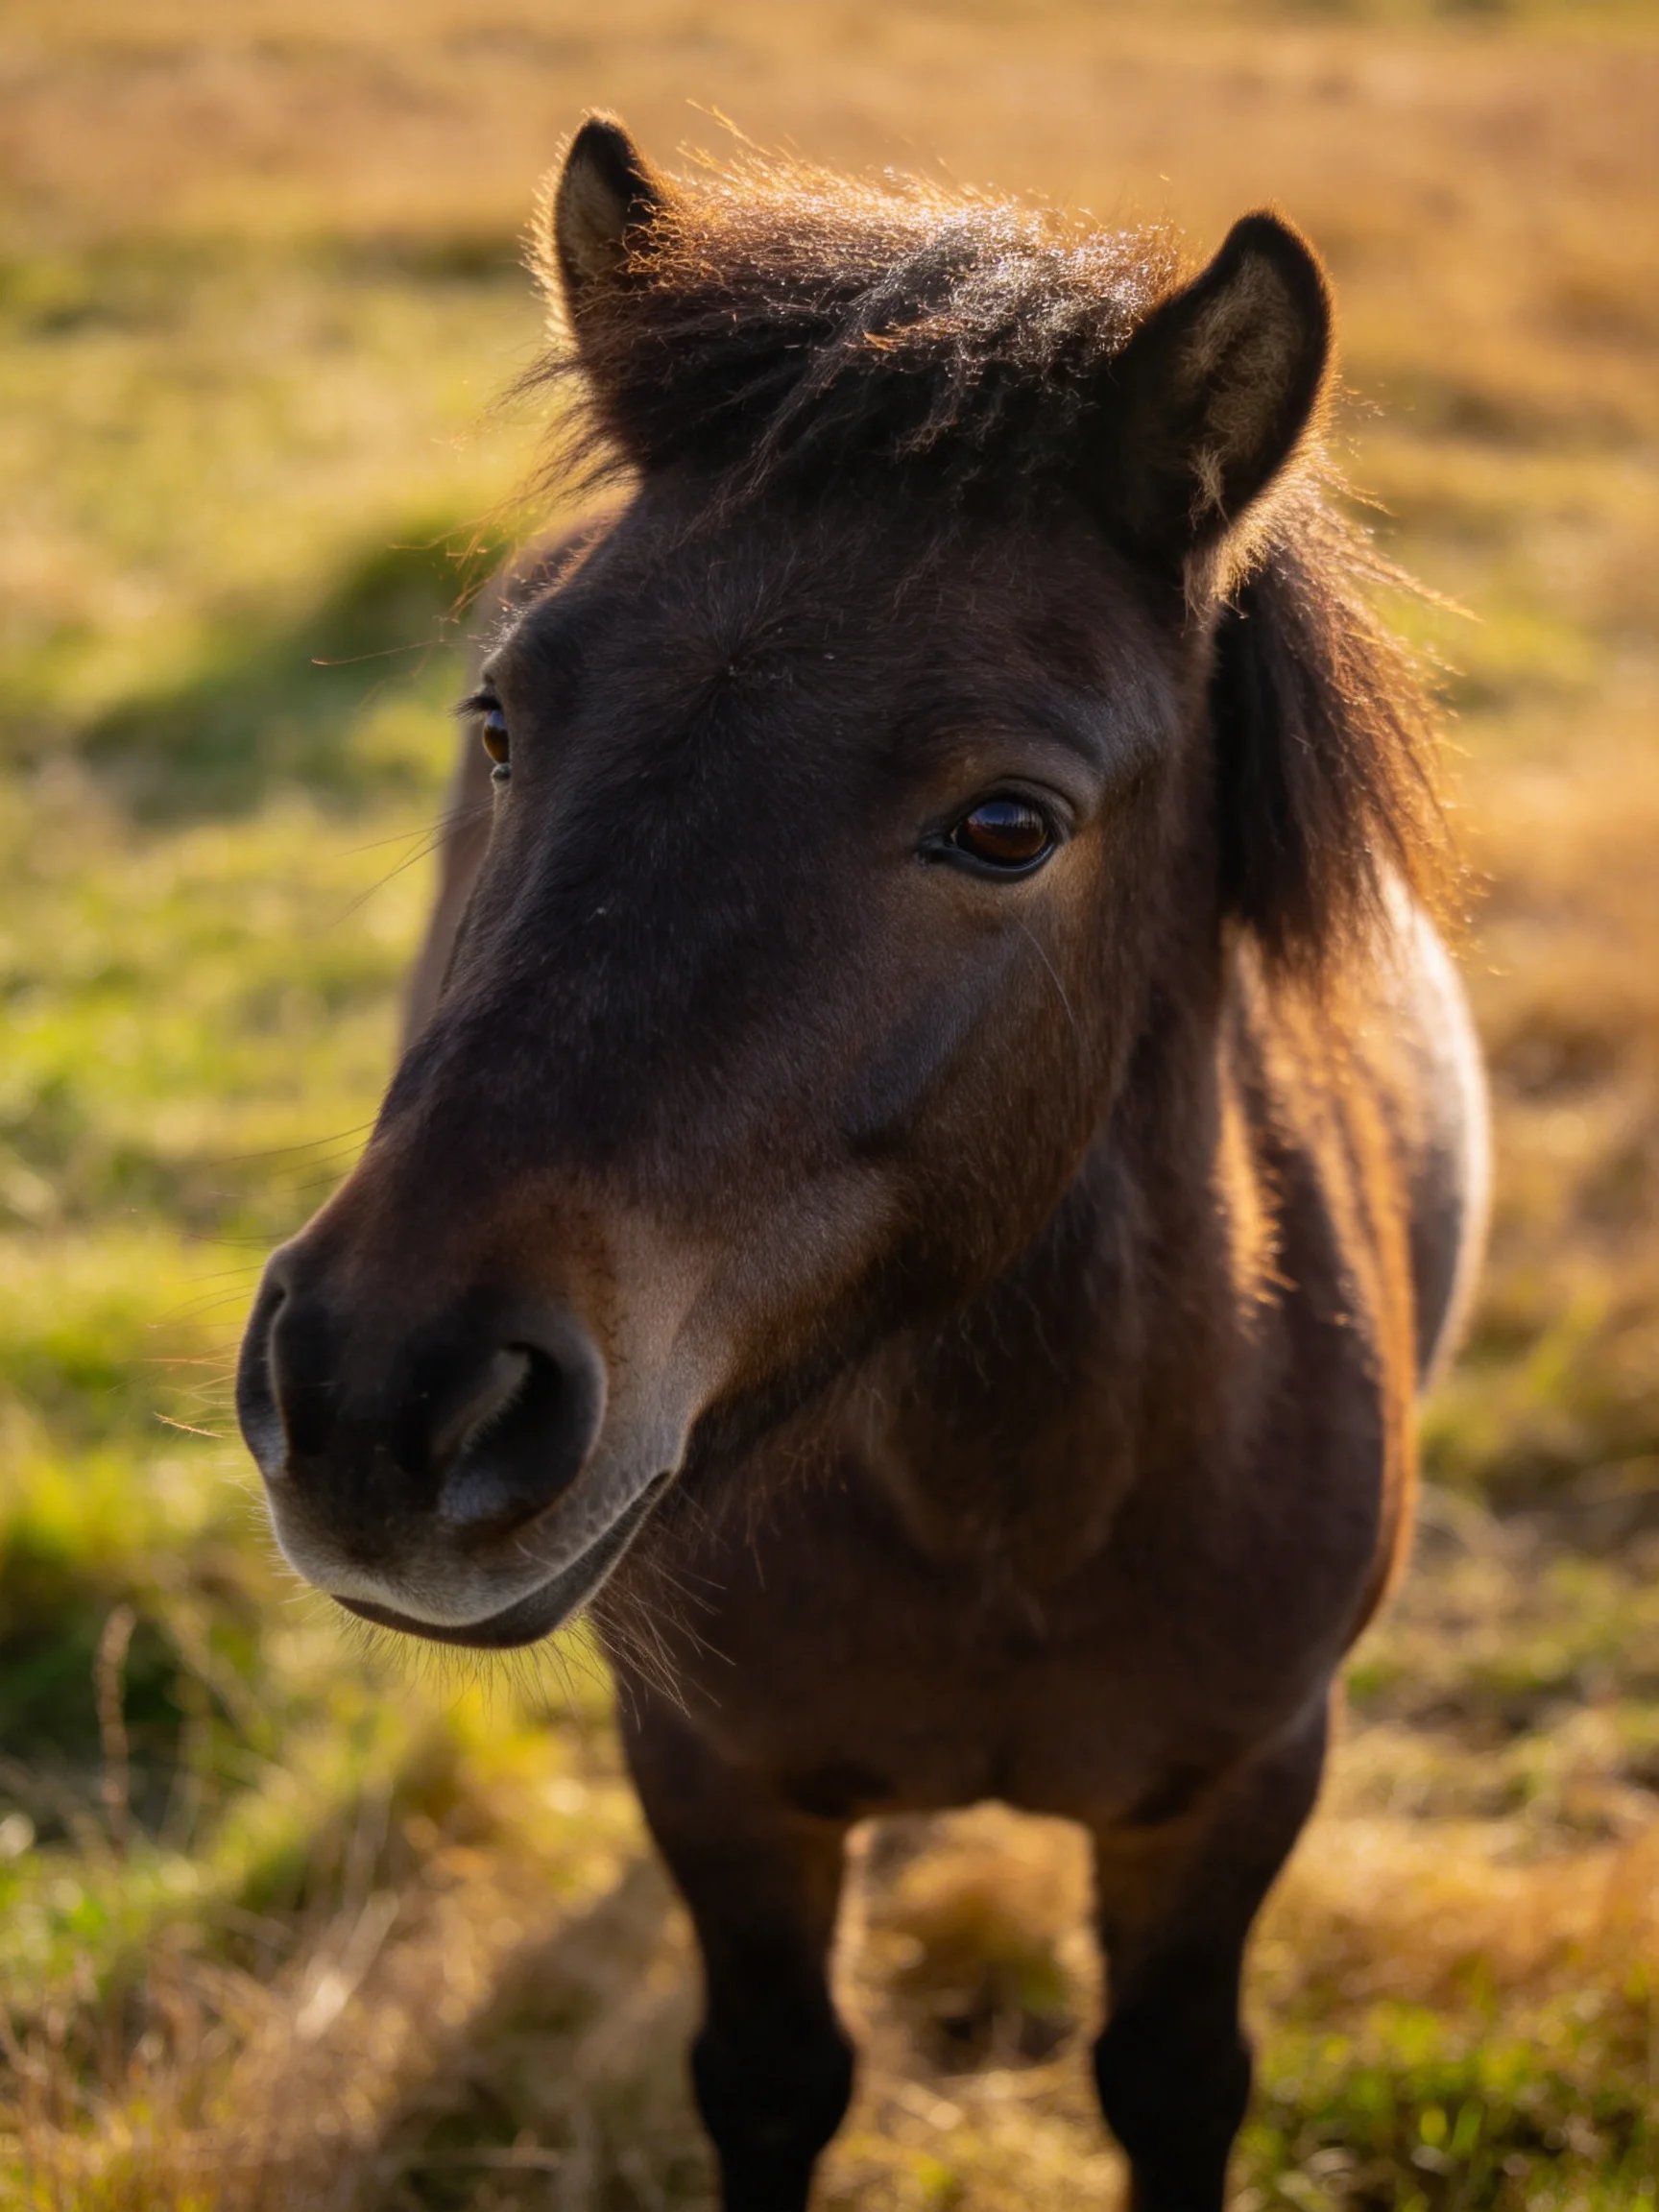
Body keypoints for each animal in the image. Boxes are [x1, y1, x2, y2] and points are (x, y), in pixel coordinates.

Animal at [237, 116, 1489, 2211]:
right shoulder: (722, 1784)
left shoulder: (1234, 1796)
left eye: (1008, 824)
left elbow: (1173, 2085)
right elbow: (773, 2077)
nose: (382, 1400)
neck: (1012, 1515)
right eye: (503, 717)